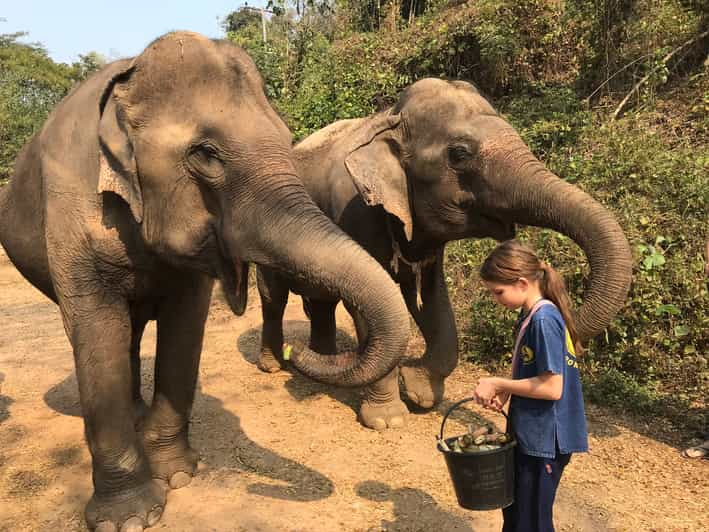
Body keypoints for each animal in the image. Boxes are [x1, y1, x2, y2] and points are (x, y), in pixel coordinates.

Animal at [0, 33, 410, 532]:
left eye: (287, 140)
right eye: (206, 154)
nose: (295, 352)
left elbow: (185, 326)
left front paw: (178, 476)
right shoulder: (72, 207)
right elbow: (97, 329)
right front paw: (130, 518)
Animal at [258, 76, 632, 432]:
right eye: (460, 153)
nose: (567, 312)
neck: (390, 119)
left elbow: (432, 299)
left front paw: (419, 392)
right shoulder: (354, 213)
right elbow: (371, 308)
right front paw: (386, 420)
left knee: (321, 302)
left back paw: (322, 357)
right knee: (274, 297)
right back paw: (274, 363)